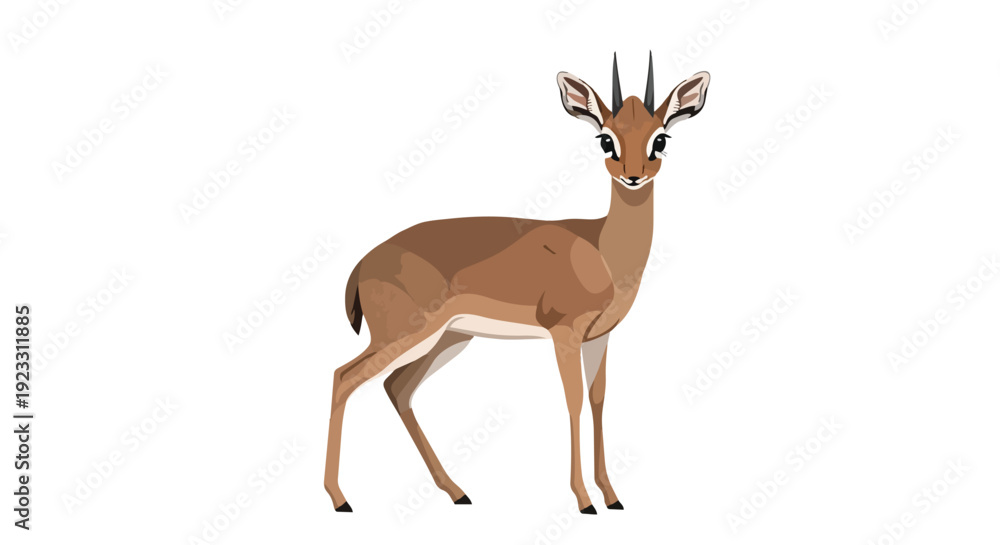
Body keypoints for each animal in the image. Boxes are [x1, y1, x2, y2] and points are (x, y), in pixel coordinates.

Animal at [325, 53, 710, 514]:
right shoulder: (564, 333)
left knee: (396, 388)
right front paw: (584, 500)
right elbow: (573, 402)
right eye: (606, 140)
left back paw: (457, 492)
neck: (601, 249)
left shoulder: (599, 336)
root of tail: (361, 264)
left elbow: (598, 400)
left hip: (448, 338)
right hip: (404, 334)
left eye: (660, 139)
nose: (633, 177)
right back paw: (340, 499)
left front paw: (612, 496)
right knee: (344, 377)